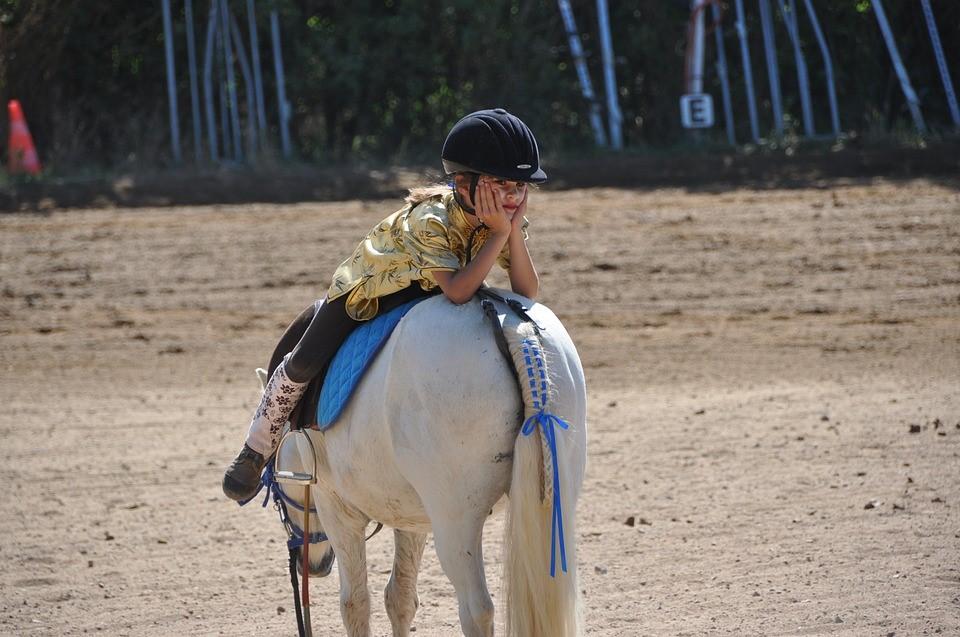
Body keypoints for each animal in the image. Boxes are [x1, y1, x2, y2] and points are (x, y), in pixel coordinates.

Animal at [272, 290, 584, 636]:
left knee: (477, 609)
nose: (313, 565)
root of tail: (516, 331)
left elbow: (355, 603)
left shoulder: (336, 509)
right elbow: (400, 598)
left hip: (456, 524)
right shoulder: (412, 517)